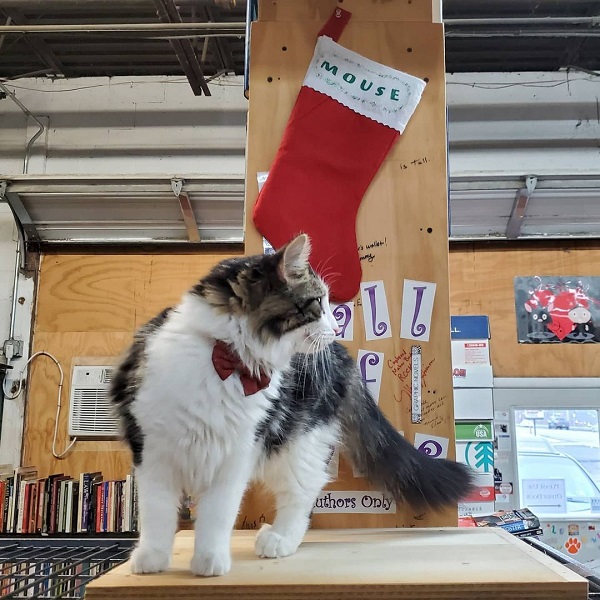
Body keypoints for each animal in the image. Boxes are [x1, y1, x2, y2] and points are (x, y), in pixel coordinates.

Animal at [109, 233, 474, 576]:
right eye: (318, 302)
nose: (336, 326)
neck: (226, 359)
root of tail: (341, 355)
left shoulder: (237, 453)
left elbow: (216, 513)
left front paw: (209, 560)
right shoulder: (152, 450)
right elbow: (157, 513)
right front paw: (152, 559)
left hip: (298, 441)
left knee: (303, 490)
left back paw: (280, 538)